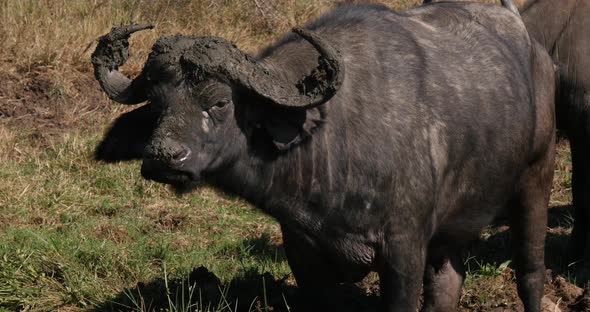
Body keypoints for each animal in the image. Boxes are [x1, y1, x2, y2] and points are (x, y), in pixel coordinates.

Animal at [91, 1, 556, 310]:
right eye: (156, 102)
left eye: (219, 102)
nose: (162, 156)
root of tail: (535, 48)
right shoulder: (304, 252)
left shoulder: (403, 250)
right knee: (447, 285)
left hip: (536, 179)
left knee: (530, 272)